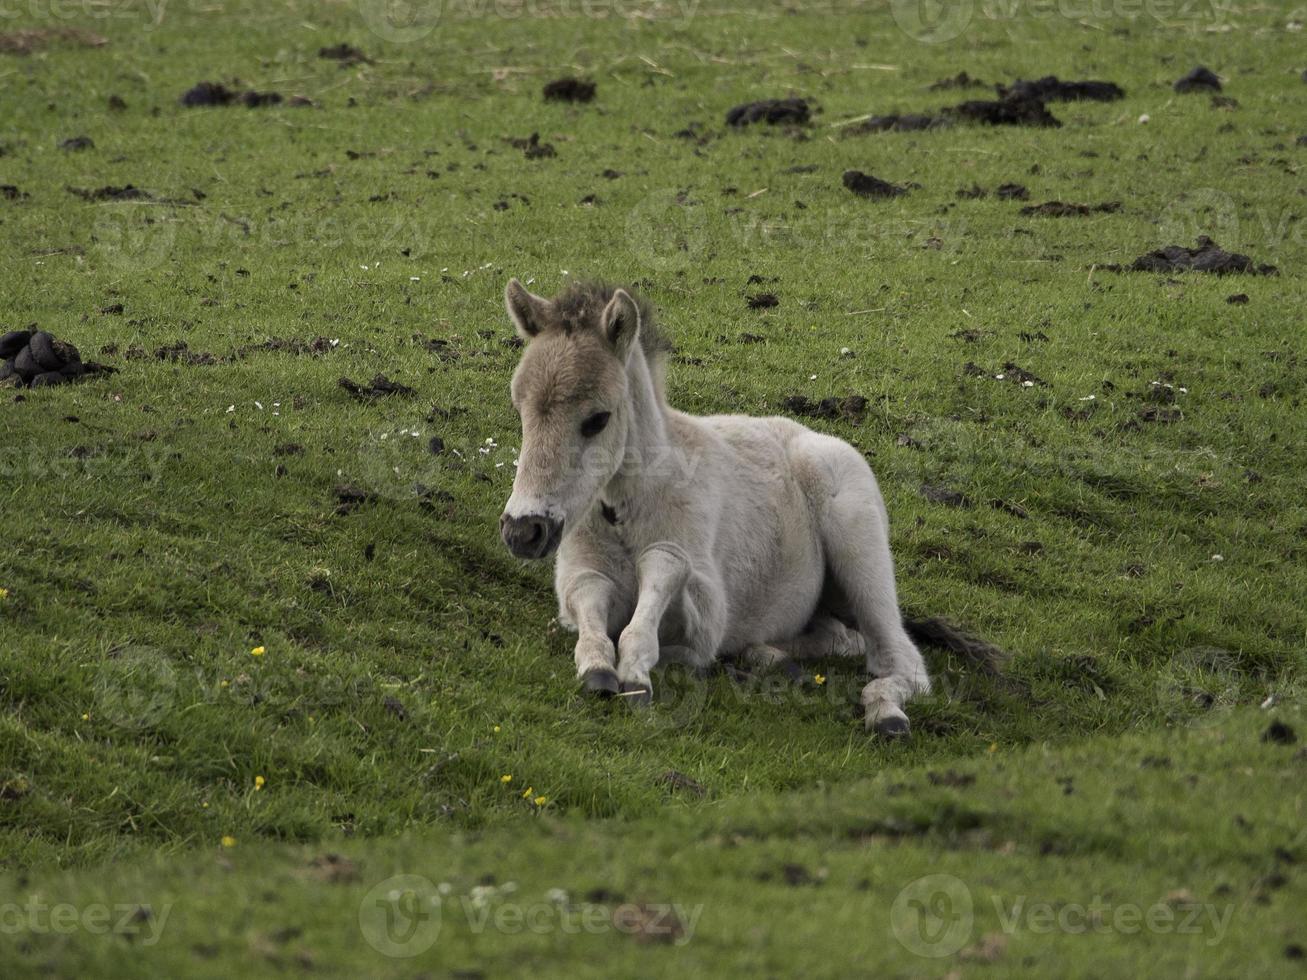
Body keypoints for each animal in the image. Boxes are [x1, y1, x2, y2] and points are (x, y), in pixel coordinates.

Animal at [494, 279, 993, 742]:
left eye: (598, 419)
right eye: (520, 409)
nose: (523, 531)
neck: (629, 510)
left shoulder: (704, 619)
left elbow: (663, 575)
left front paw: (634, 672)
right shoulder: (580, 580)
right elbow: (592, 612)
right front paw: (597, 668)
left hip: (858, 542)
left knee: (899, 659)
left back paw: (885, 712)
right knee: (841, 638)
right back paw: (770, 657)